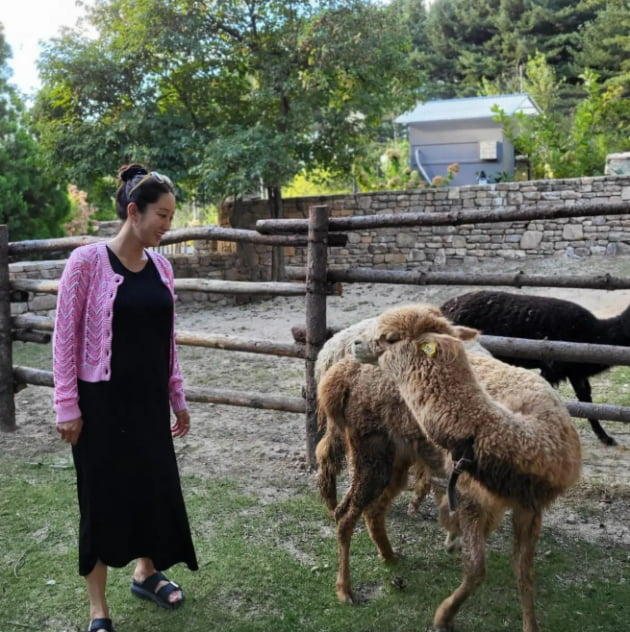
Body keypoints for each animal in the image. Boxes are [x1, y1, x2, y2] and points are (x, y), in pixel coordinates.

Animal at [356, 304, 584, 632]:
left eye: (390, 337)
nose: (356, 343)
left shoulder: (529, 507)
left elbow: (524, 573)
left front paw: (530, 624)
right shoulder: (471, 497)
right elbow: (477, 569)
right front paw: (444, 616)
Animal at [442, 288, 628, 446]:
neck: (594, 335)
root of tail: (445, 306)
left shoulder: (575, 372)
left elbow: (586, 400)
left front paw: (605, 438)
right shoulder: (552, 367)